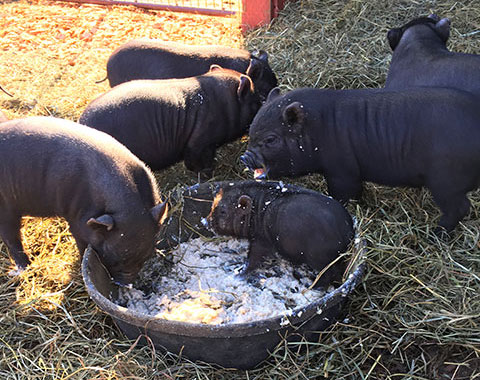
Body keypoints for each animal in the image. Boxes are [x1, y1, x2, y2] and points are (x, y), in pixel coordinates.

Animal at [0, 117, 169, 284]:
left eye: (145, 256)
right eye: (113, 257)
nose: (124, 284)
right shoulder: (77, 219)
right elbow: (82, 242)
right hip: (6, 209)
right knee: (12, 239)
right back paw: (23, 269)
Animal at [82, 65, 262, 177]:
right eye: (256, 100)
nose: (262, 105)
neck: (225, 105)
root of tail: (84, 122)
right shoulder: (199, 143)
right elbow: (196, 162)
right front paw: (208, 174)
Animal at [206, 181, 352, 288]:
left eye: (223, 211)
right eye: (213, 205)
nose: (205, 221)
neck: (256, 212)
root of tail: (348, 233)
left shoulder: (262, 240)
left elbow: (253, 258)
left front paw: (238, 274)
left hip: (320, 258)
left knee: (328, 273)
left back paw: (313, 287)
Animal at [244, 87, 480, 233]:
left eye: (270, 139)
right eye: (251, 131)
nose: (245, 156)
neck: (317, 131)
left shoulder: (342, 171)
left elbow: (343, 194)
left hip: (445, 181)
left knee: (460, 207)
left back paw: (436, 233)